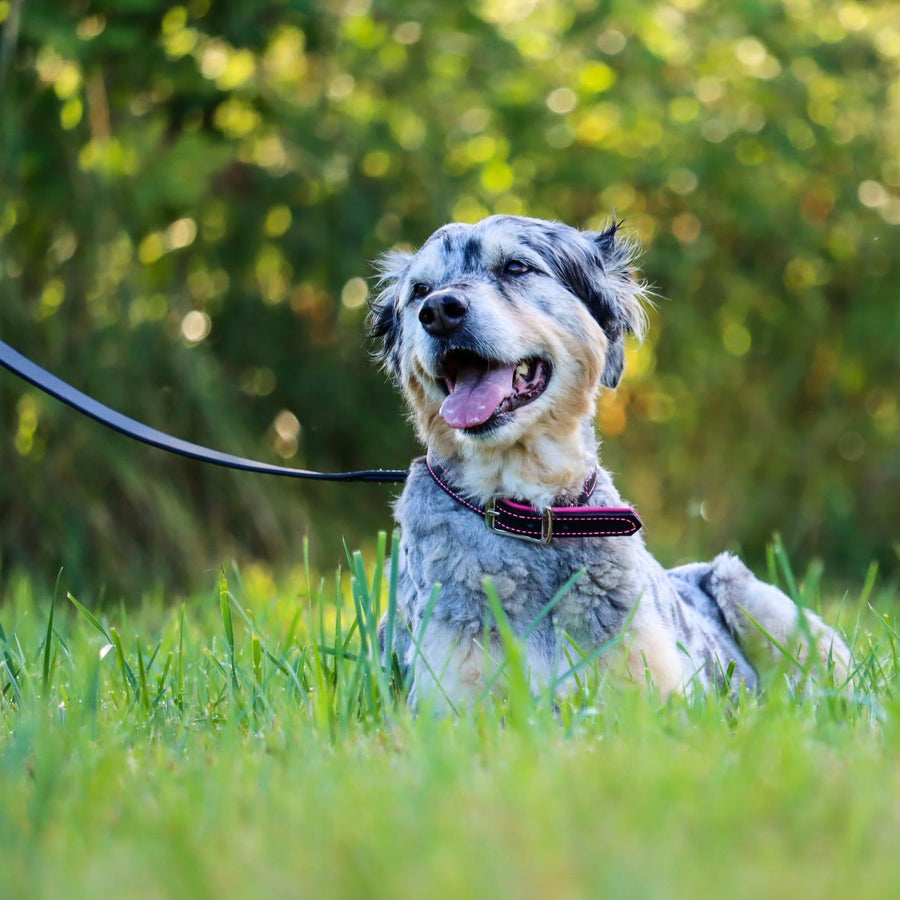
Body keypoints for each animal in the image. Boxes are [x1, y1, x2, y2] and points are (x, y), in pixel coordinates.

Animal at [368, 213, 852, 712]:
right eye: (420, 290)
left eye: (516, 267)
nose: (439, 310)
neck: (528, 512)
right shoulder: (450, 697)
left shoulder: (652, 687)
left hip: (754, 596)